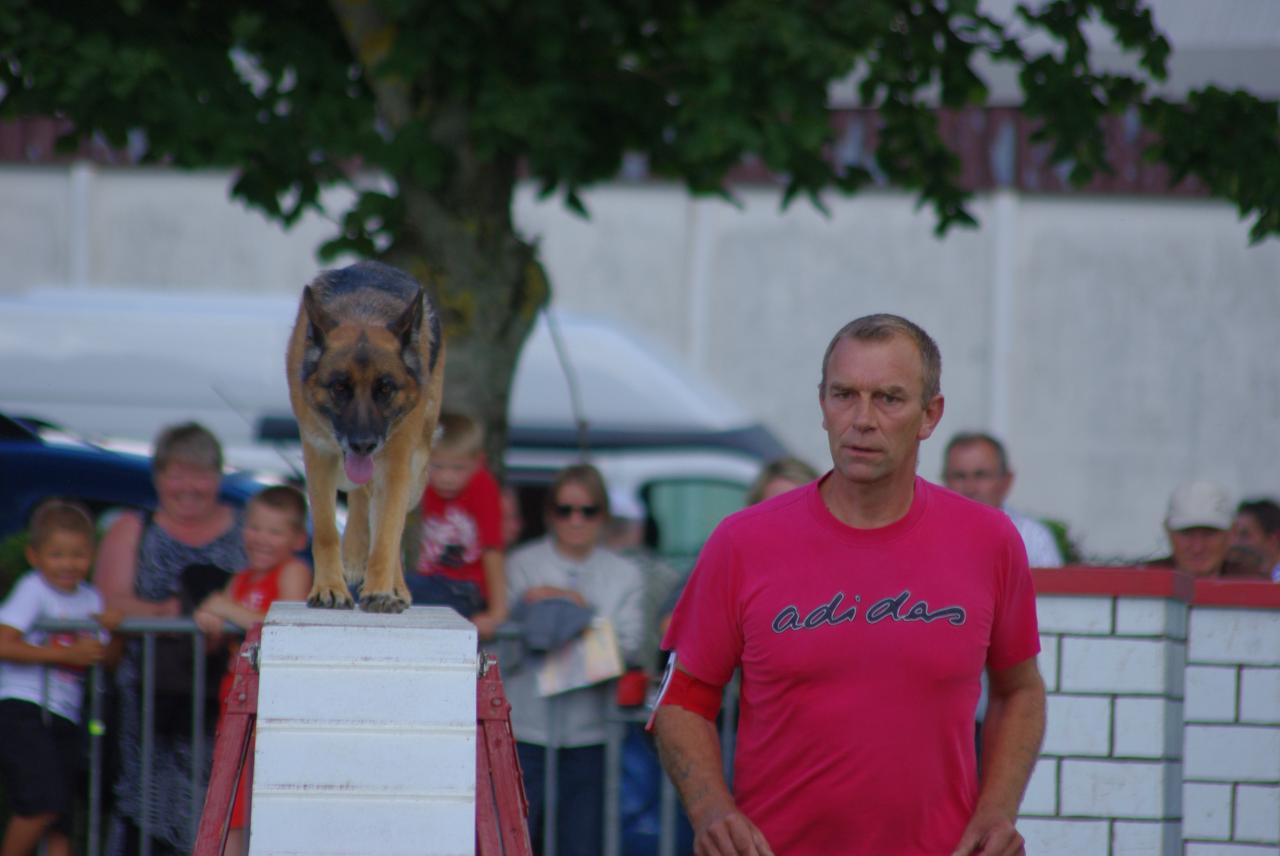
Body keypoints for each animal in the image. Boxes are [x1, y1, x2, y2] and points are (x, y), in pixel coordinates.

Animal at [285, 263, 445, 611]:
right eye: (339, 387)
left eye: (385, 389)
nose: (363, 443)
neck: (364, 315)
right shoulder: (319, 456)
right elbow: (326, 532)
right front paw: (329, 588)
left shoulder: (395, 463)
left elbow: (386, 534)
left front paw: (381, 591)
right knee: (361, 495)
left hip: (417, 467)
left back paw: (393, 585)